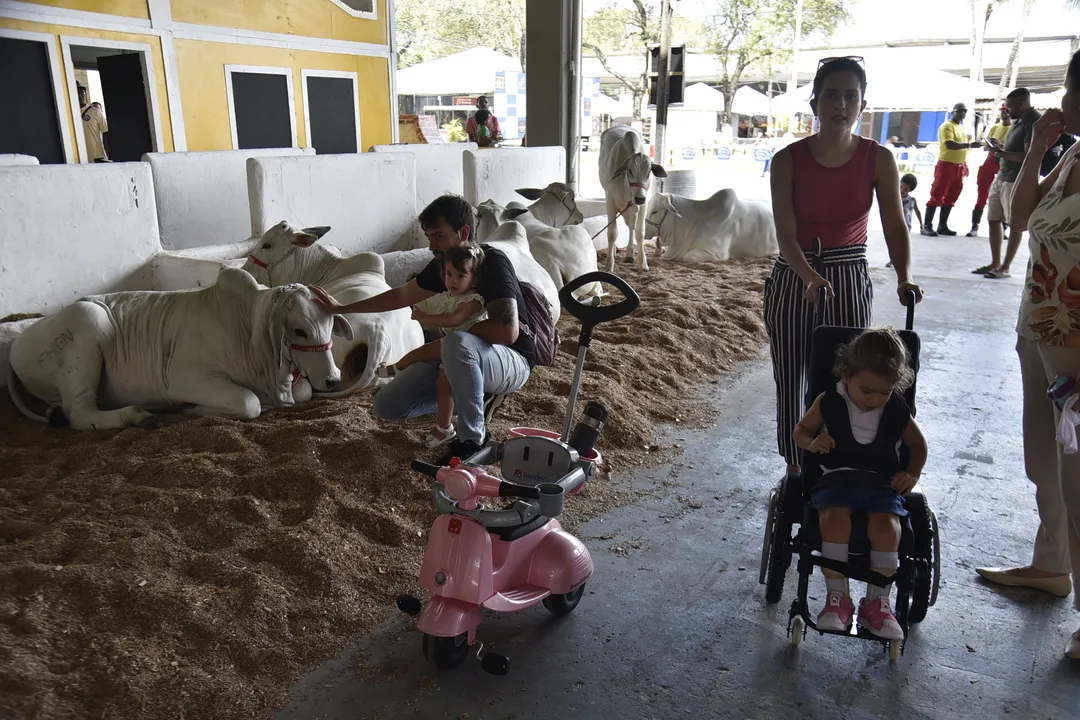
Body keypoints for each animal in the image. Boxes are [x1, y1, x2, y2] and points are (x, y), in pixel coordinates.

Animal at [600, 125, 665, 272]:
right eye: (630, 170)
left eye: (649, 172)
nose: (639, 198)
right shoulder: (610, 201)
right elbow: (612, 233)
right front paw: (609, 264)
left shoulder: (642, 205)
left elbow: (639, 233)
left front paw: (643, 263)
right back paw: (615, 252)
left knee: (631, 226)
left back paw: (629, 254)